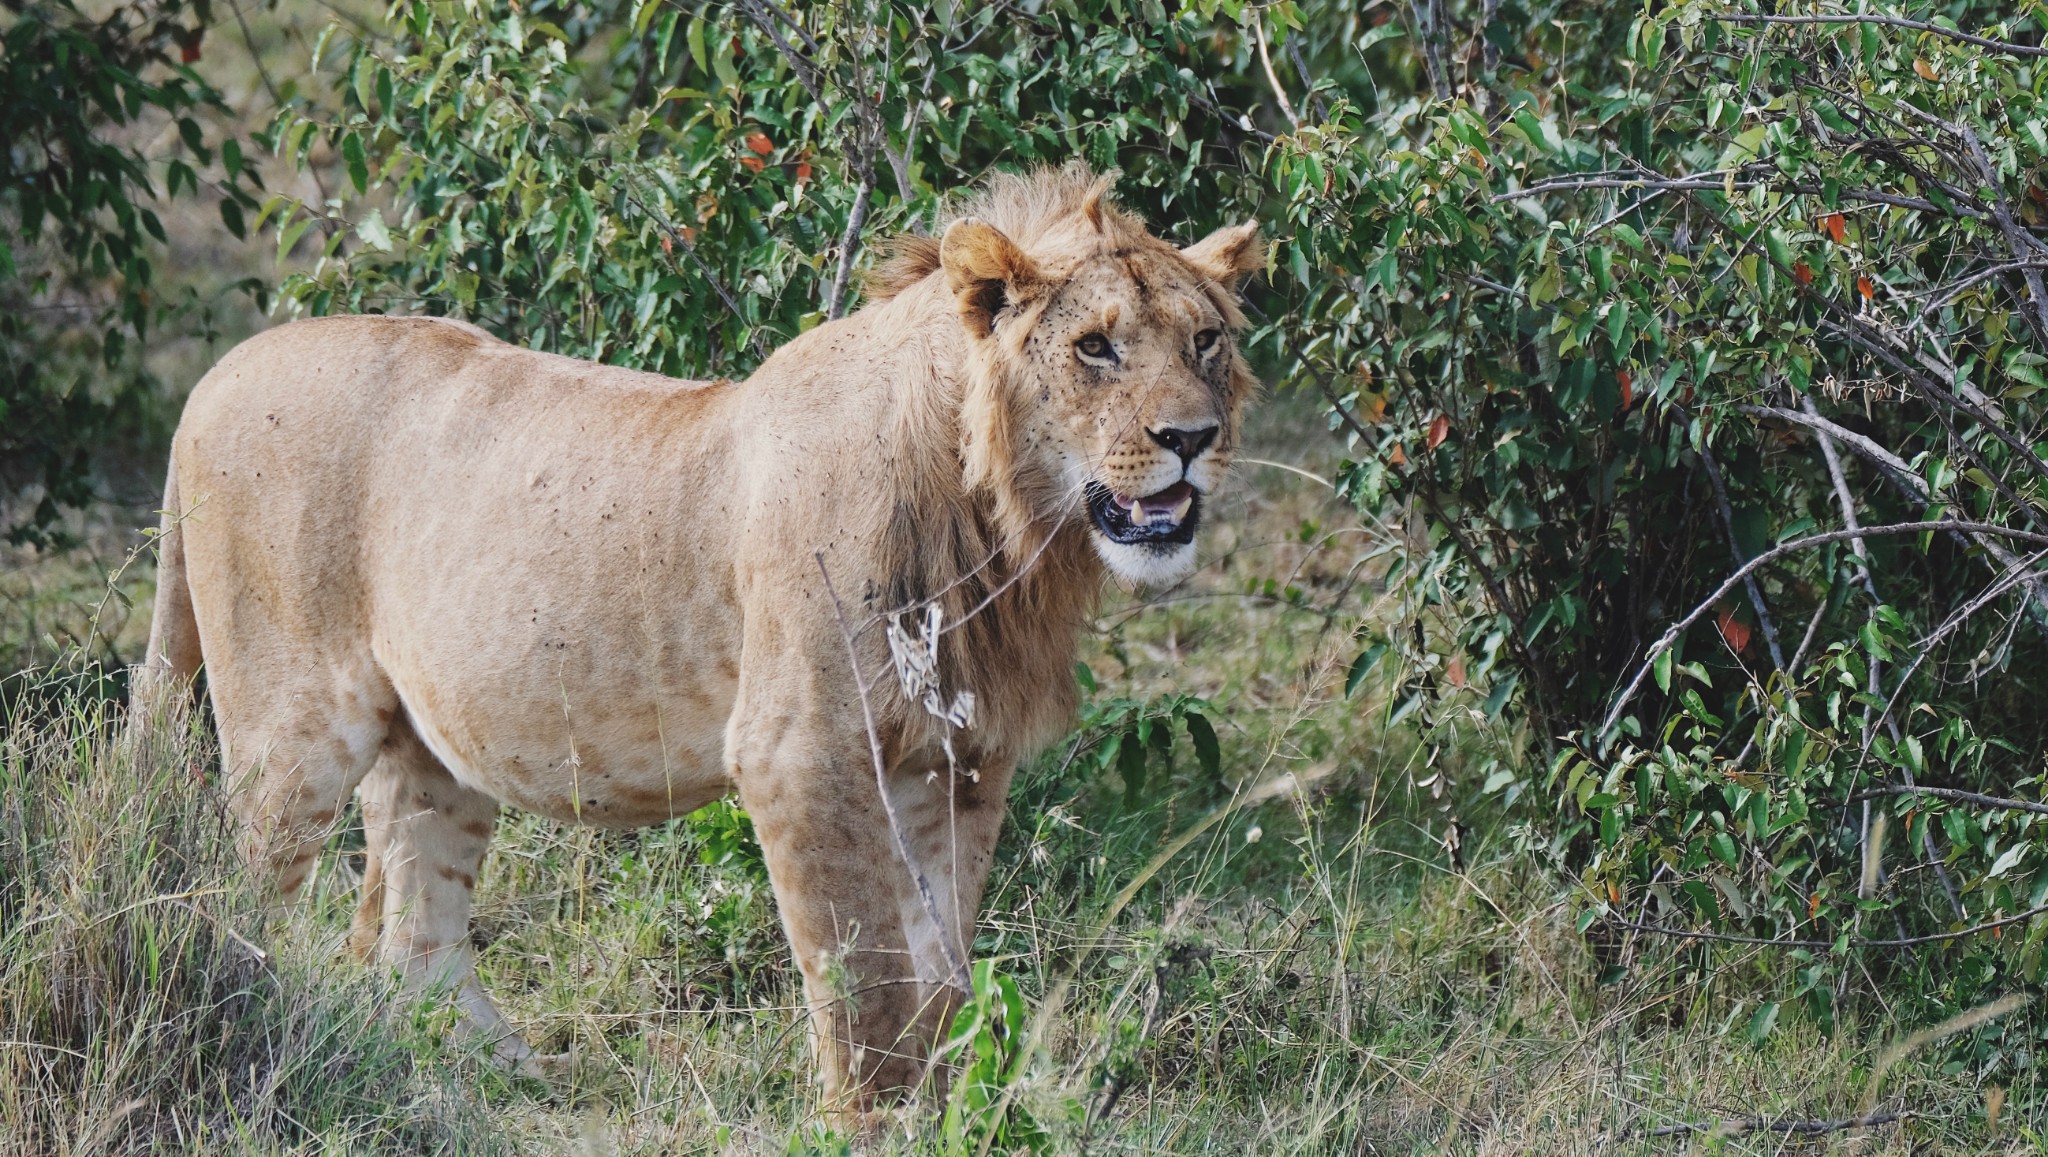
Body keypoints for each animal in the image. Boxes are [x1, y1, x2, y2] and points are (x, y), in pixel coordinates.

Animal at [132, 166, 1261, 1113]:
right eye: (1096, 347)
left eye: (1204, 341)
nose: (1191, 440)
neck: (998, 520)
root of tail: (215, 375)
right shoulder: (802, 752)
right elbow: (860, 966)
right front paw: (874, 1117)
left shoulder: (959, 759)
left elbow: (939, 963)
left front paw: (943, 1106)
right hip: (291, 732)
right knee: (239, 897)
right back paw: (264, 1032)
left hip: (432, 745)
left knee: (411, 927)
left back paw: (488, 1074)